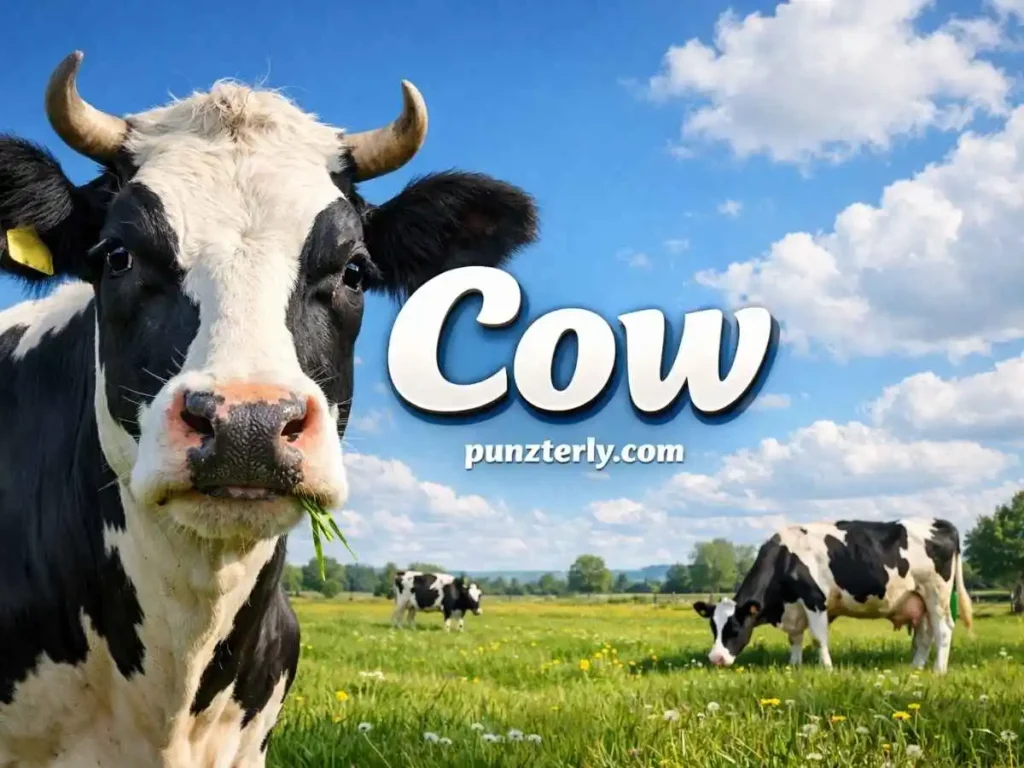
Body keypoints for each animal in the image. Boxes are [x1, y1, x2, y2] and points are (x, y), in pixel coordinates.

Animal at [692, 518, 973, 674]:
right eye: (713, 628)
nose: (716, 659)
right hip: (919, 599)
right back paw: (916, 668)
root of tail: (940, 523)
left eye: (735, 628)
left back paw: (938, 670)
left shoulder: (815, 600)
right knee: (926, 634)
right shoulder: (795, 607)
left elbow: (818, 638)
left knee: (943, 630)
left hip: (936, 594)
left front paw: (826, 668)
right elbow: (795, 639)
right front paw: (794, 665)